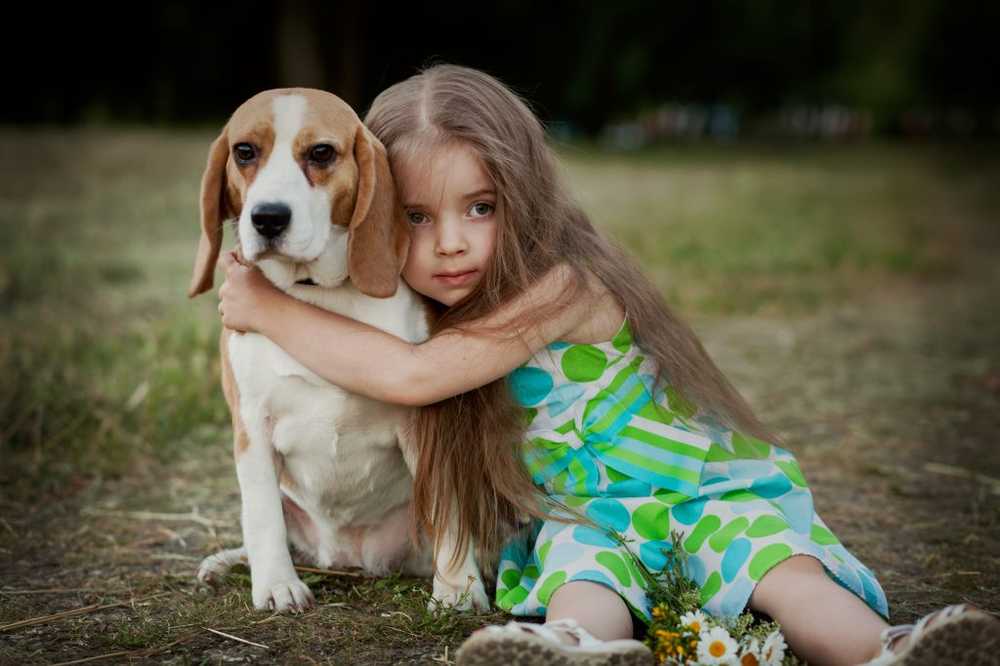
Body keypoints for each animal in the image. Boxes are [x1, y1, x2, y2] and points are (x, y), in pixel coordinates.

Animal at [188, 88, 488, 612]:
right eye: (244, 151)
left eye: (321, 153)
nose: (267, 217)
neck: (317, 299)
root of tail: (345, 558)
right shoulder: (252, 427)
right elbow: (261, 516)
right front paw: (277, 585)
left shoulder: (424, 423)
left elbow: (448, 510)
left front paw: (459, 589)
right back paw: (226, 564)